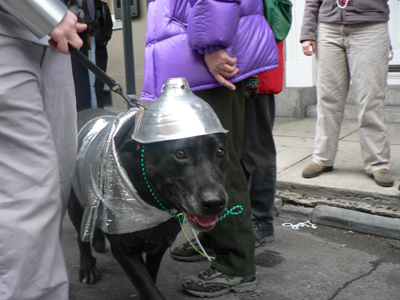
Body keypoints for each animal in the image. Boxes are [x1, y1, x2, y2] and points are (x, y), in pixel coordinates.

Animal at [69, 108, 228, 300]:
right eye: (180, 154)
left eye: (220, 152)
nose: (215, 203)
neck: (150, 201)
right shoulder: (125, 250)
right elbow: (148, 286)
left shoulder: (160, 245)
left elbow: (151, 277)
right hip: (76, 202)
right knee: (81, 236)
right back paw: (87, 267)